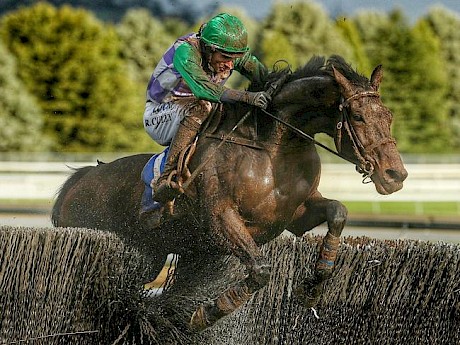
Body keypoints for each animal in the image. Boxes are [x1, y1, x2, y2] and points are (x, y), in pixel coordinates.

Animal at [52, 55, 408, 330]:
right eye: (358, 116)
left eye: (389, 116)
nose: (396, 175)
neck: (272, 147)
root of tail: (81, 178)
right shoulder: (220, 218)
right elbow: (260, 270)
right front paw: (203, 314)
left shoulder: (296, 215)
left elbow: (338, 212)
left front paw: (313, 287)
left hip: (148, 255)